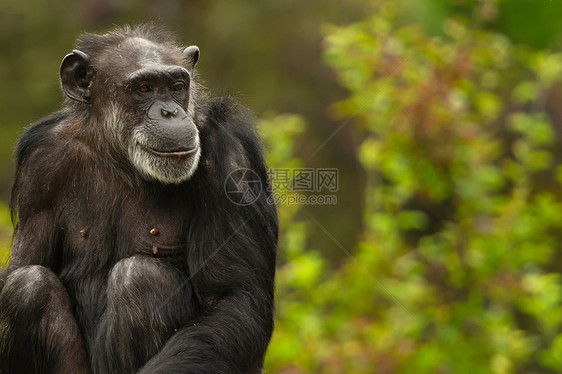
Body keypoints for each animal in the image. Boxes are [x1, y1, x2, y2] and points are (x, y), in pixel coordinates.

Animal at [0, 24, 276, 372]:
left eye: (176, 86)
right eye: (144, 88)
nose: (170, 112)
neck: (122, 159)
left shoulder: (231, 154)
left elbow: (234, 297)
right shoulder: (40, 165)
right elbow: (23, 266)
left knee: (139, 277)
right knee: (27, 287)